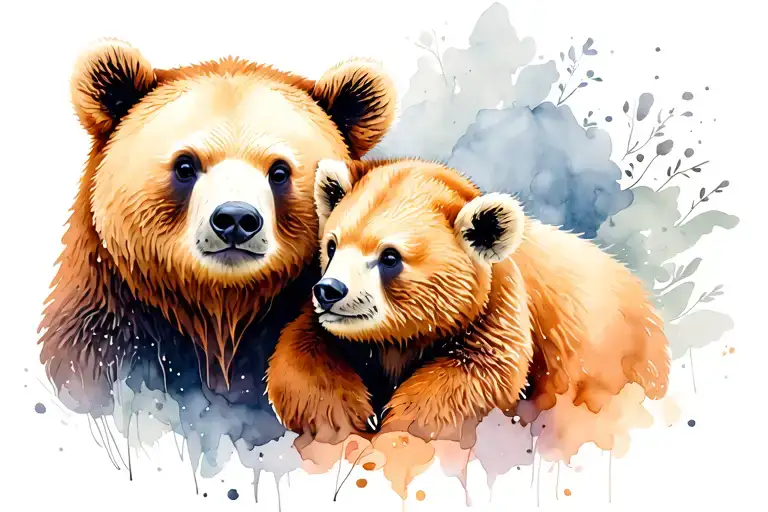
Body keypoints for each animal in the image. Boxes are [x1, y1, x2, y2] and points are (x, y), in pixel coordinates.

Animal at [267, 158, 670, 443]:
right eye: (332, 245)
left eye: (390, 257)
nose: (330, 290)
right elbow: (300, 355)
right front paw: (345, 416)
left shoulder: (499, 309)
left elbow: (481, 375)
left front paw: (404, 422)